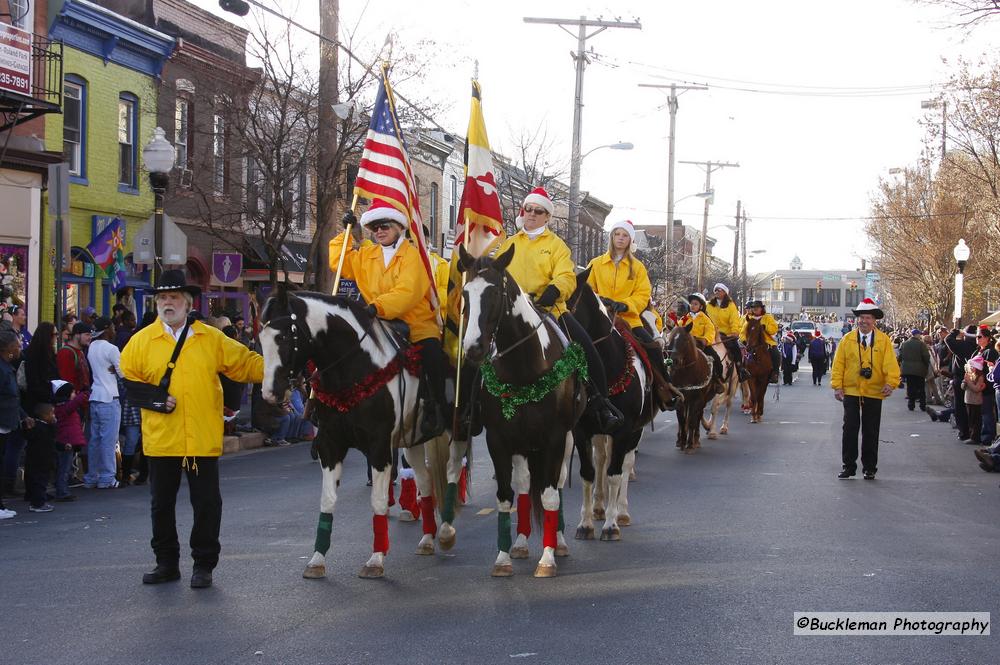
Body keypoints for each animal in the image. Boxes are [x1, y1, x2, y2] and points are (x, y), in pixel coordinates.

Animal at [258, 288, 450, 580]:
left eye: (282, 337)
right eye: (260, 338)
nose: (270, 393)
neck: (354, 370)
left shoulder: (379, 446)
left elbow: (378, 501)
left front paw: (376, 559)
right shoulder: (330, 444)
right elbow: (327, 500)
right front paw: (317, 559)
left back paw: (447, 531)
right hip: (412, 440)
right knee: (426, 480)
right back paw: (427, 538)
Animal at [458, 244, 584, 576]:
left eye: (493, 293)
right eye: (465, 293)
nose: (473, 349)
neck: (523, 370)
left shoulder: (555, 438)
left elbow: (551, 496)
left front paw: (548, 558)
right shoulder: (499, 440)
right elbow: (506, 497)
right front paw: (503, 558)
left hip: (566, 439)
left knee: (558, 485)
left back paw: (559, 541)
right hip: (523, 445)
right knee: (526, 486)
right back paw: (521, 543)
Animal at [668, 324, 716, 454]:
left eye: (685, 340)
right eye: (669, 339)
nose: (674, 361)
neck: (687, 372)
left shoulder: (697, 399)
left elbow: (692, 421)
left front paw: (689, 444)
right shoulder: (680, 398)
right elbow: (682, 420)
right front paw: (682, 442)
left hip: (702, 400)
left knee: (697, 416)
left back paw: (696, 439)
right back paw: (680, 439)